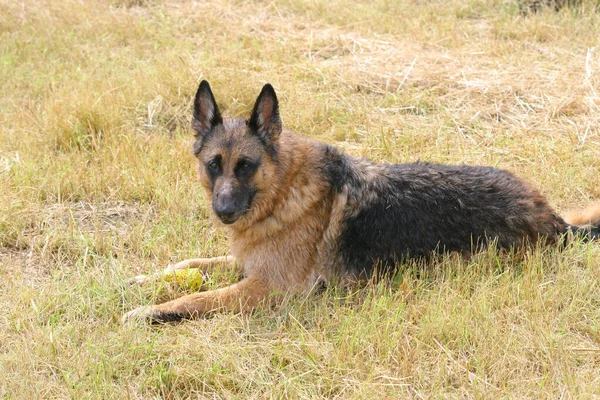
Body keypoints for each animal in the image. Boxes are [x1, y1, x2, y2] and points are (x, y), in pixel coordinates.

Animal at [119, 79, 596, 324]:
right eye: (214, 165)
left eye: (246, 166)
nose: (223, 212)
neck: (283, 190)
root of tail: (554, 219)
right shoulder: (247, 262)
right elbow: (188, 265)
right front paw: (142, 281)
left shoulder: (267, 286)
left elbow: (200, 299)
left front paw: (151, 310)